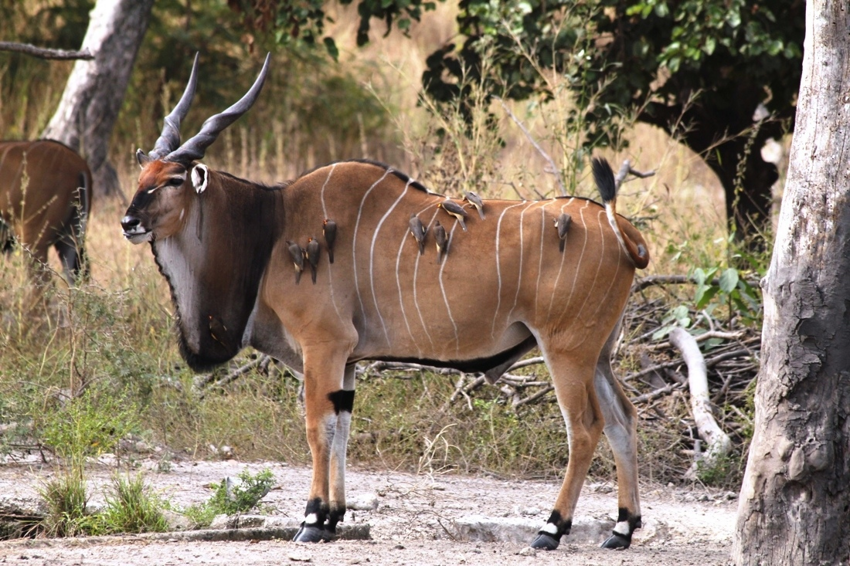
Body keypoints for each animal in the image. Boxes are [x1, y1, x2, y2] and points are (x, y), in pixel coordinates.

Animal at [119, 54, 648, 556]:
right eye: (142, 174)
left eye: (173, 180)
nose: (128, 221)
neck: (271, 226)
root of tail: (621, 228)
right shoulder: (347, 360)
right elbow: (342, 427)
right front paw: (332, 518)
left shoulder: (323, 346)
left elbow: (317, 427)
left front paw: (311, 520)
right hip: (597, 355)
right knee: (622, 419)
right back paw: (621, 529)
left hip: (566, 350)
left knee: (585, 427)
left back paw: (551, 529)